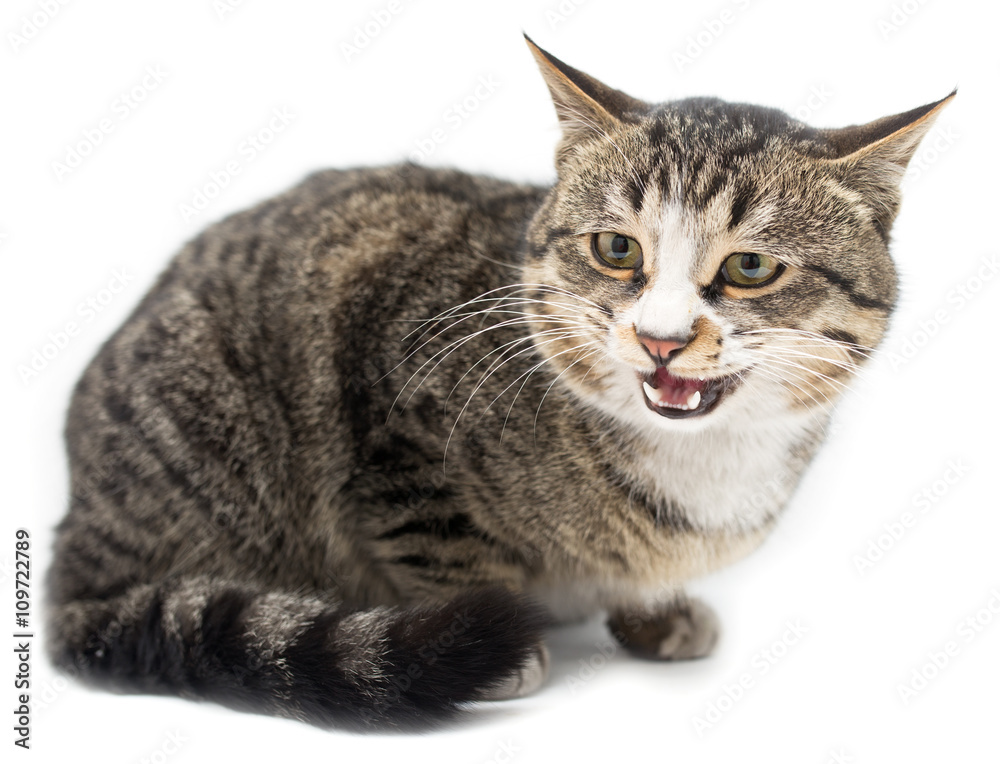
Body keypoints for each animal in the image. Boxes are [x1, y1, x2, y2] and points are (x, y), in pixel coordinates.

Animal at [45, 35, 952, 728]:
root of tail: (73, 538)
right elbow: (442, 543)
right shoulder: (399, 423)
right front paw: (499, 645)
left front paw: (657, 613)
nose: (660, 340)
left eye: (751, 268)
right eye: (616, 249)